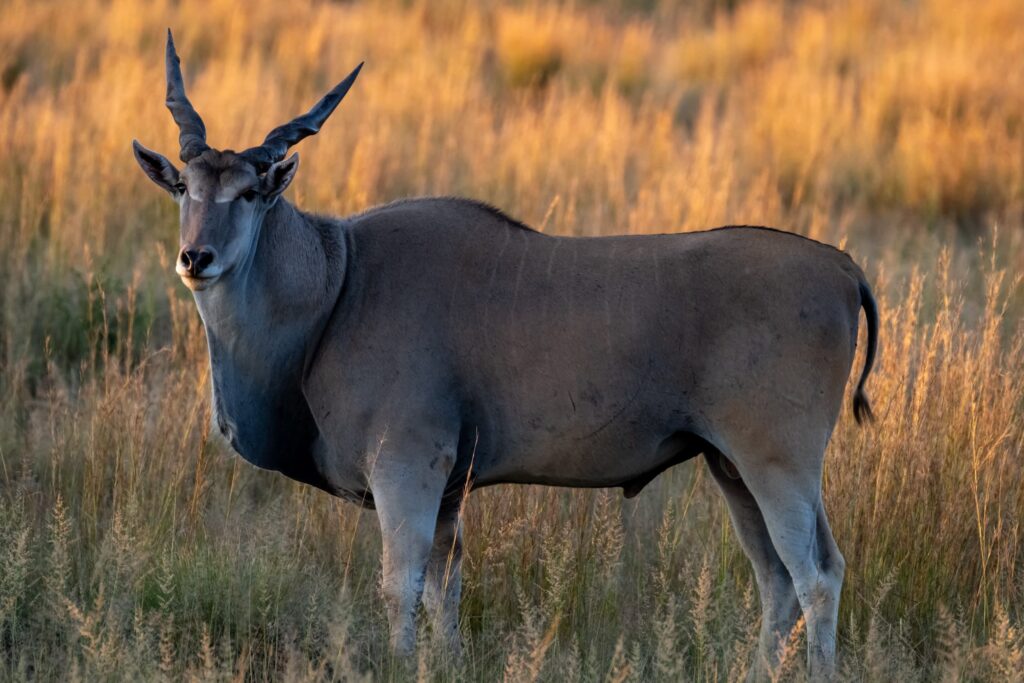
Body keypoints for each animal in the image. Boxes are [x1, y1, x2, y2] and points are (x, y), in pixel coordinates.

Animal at [130, 30, 880, 679]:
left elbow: (400, 587)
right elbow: (445, 588)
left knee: (817, 574)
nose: (195, 258)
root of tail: (843, 268)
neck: (338, 281)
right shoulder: (447, 491)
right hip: (731, 467)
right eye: (186, 189)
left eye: (249, 193)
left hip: (776, 461)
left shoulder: (407, 469)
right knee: (778, 581)